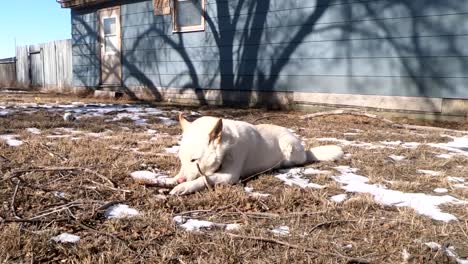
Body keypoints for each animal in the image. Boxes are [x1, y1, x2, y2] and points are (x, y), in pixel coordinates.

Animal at [159, 114, 342, 195]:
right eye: (181, 159)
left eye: (194, 160)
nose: (182, 179)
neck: (227, 147)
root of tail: (306, 150)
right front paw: (171, 180)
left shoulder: (229, 177)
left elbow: (203, 179)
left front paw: (184, 186)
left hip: (289, 149)